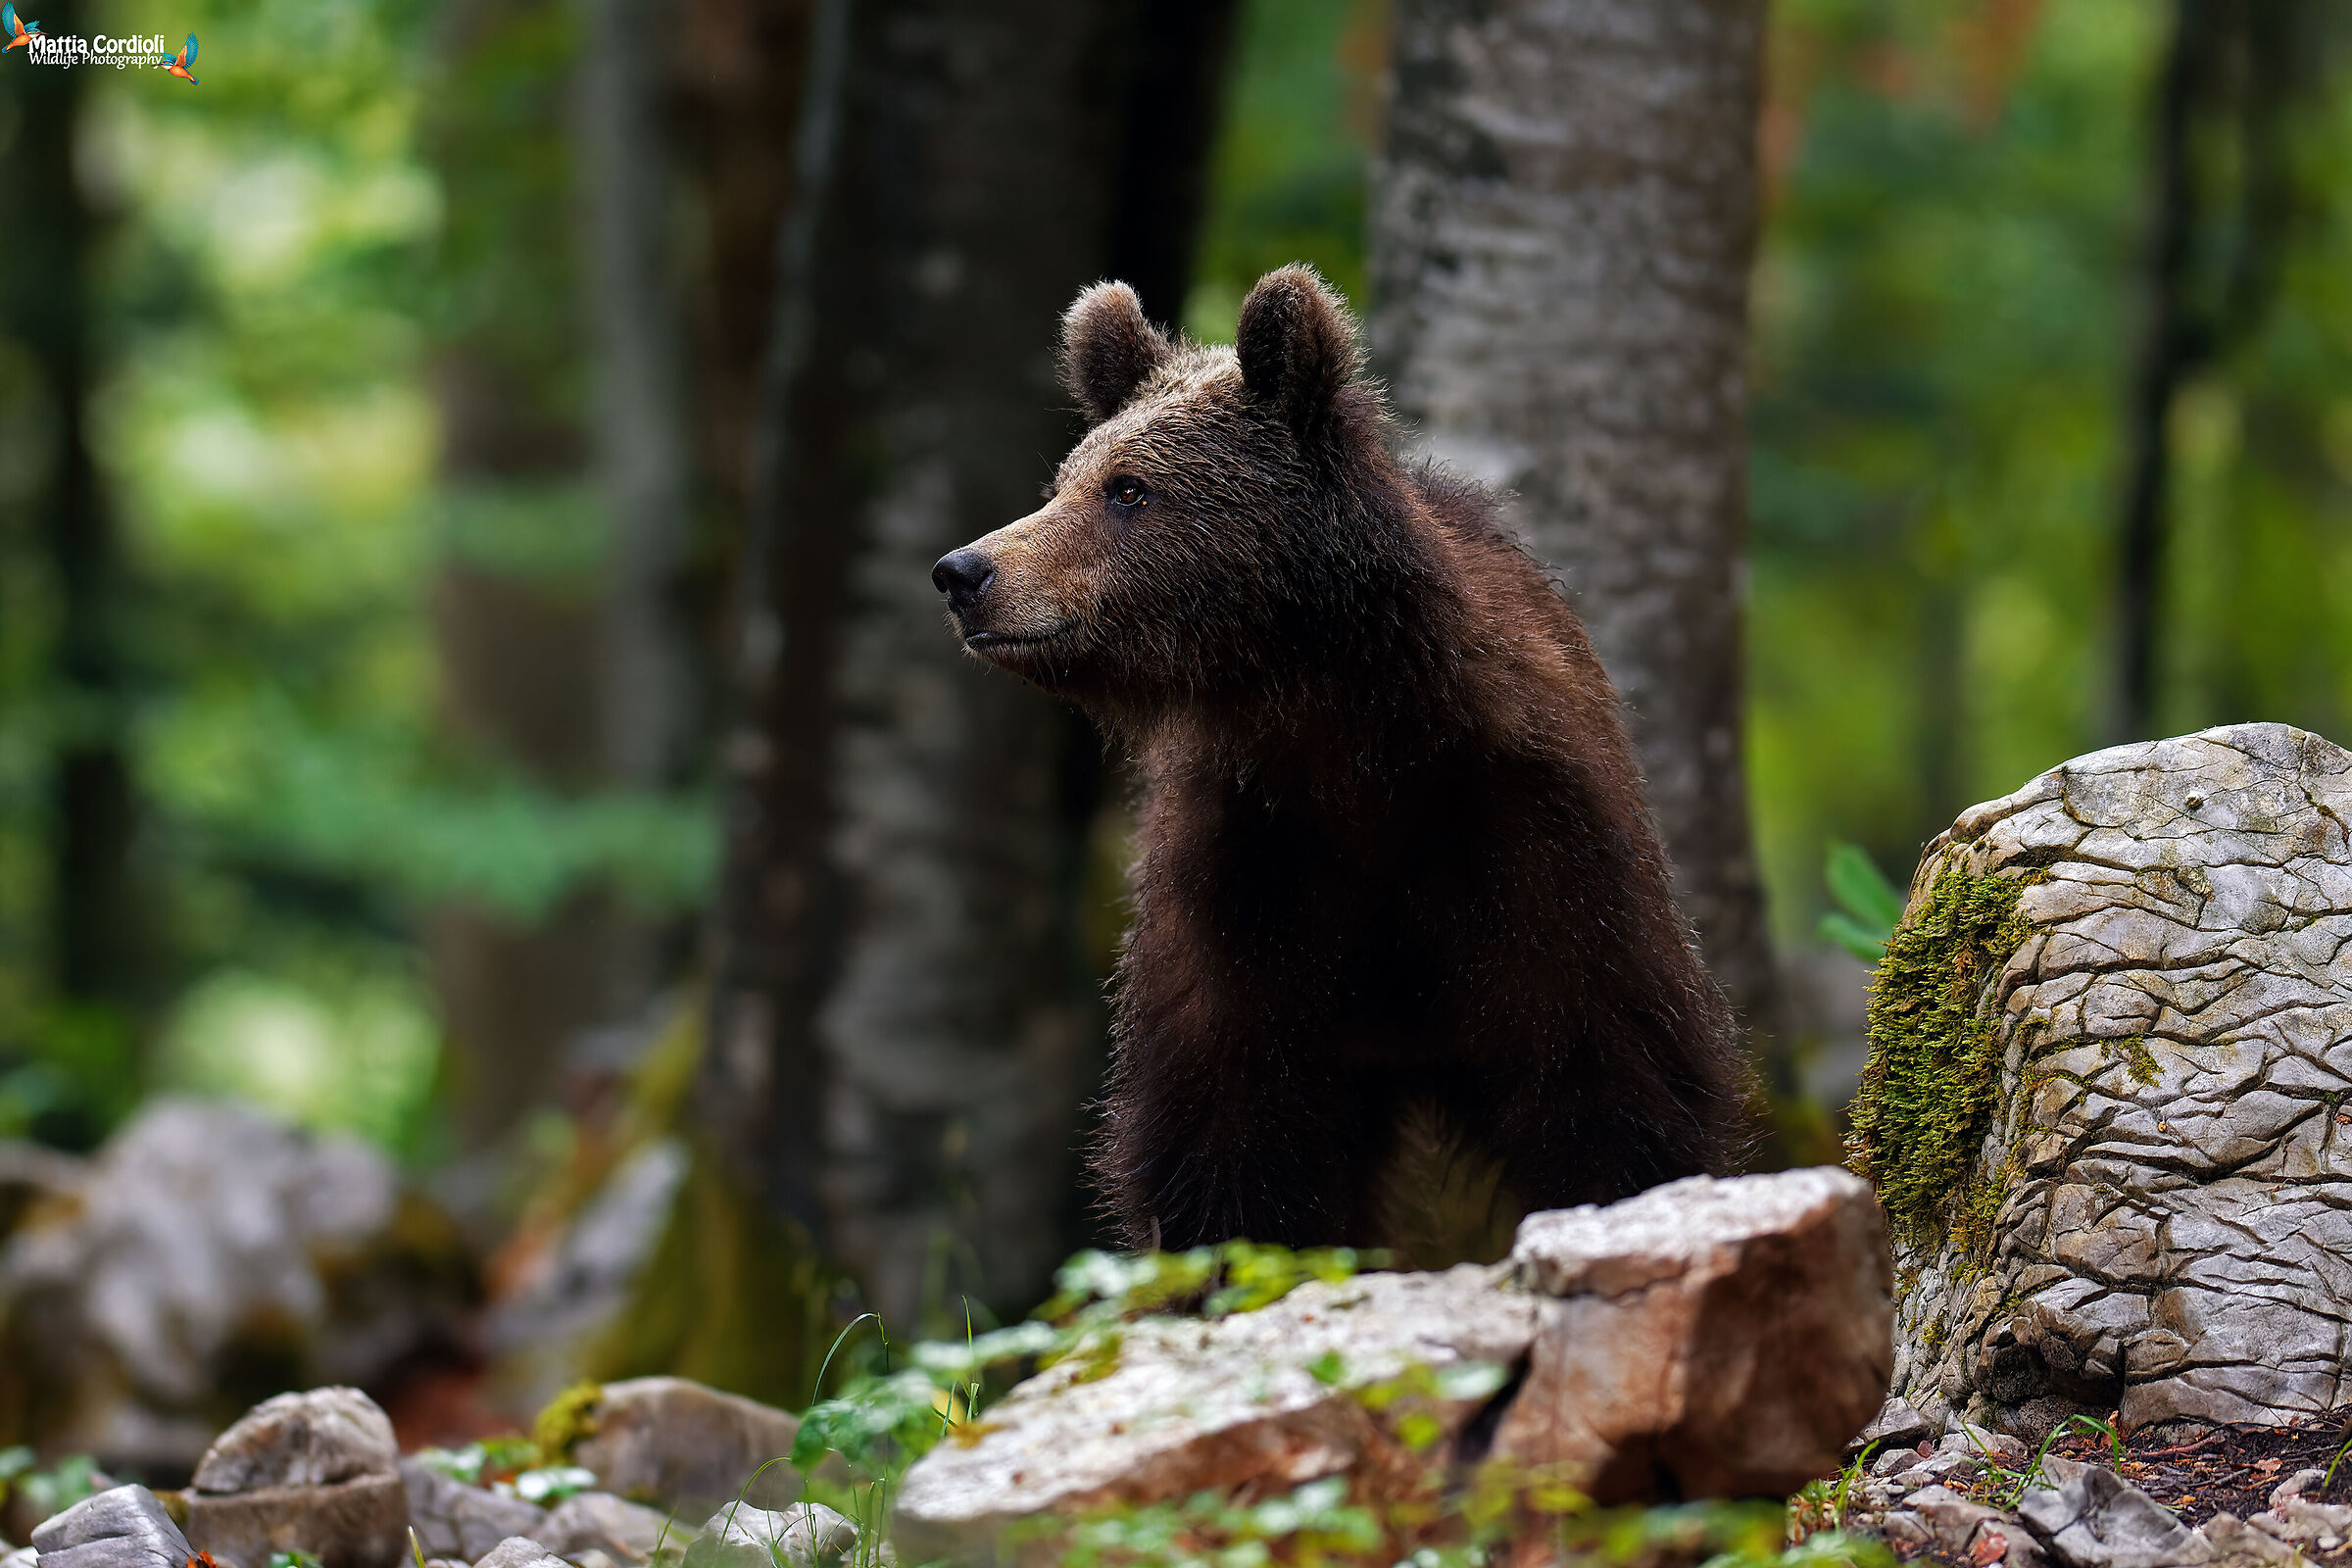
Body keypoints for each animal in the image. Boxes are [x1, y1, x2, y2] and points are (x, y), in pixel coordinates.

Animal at [930, 264, 1757, 1259]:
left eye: (1128, 490)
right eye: (1064, 481)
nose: (965, 572)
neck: (1348, 738)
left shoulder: (1533, 854)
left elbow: (1614, 1090)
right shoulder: (1251, 880)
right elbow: (1231, 1137)